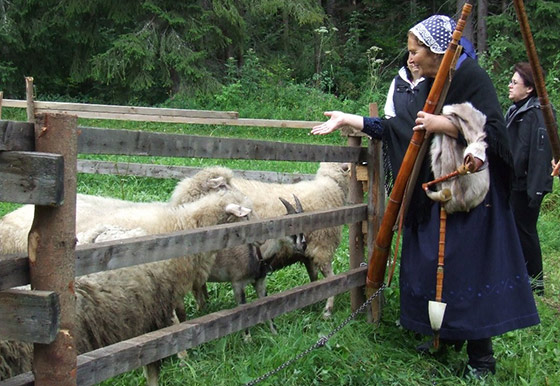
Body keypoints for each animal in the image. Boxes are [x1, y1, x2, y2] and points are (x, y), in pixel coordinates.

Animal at [0, 188, 252, 382]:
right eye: (246, 216)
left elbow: (180, 315)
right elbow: (174, 322)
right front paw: (183, 356)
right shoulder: (159, 288)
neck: (186, 224)